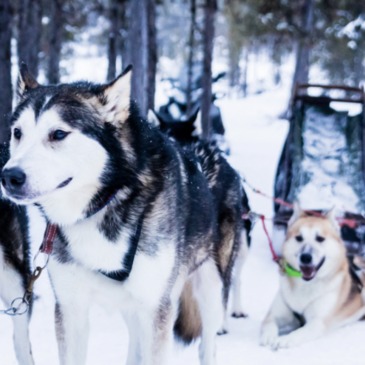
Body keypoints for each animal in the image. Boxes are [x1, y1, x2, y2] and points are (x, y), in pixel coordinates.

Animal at [0, 64, 245, 362]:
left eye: (58, 134)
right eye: (17, 132)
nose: (9, 176)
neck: (106, 202)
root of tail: (213, 152)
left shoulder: (155, 308)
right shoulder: (71, 308)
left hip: (210, 289)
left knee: (207, 344)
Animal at [258, 206, 364, 348]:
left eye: (320, 238)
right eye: (299, 238)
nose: (306, 257)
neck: (305, 285)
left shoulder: (317, 322)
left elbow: (299, 332)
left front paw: (285, 339)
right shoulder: (274, 315)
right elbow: (269, 324)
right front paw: (269, 337)